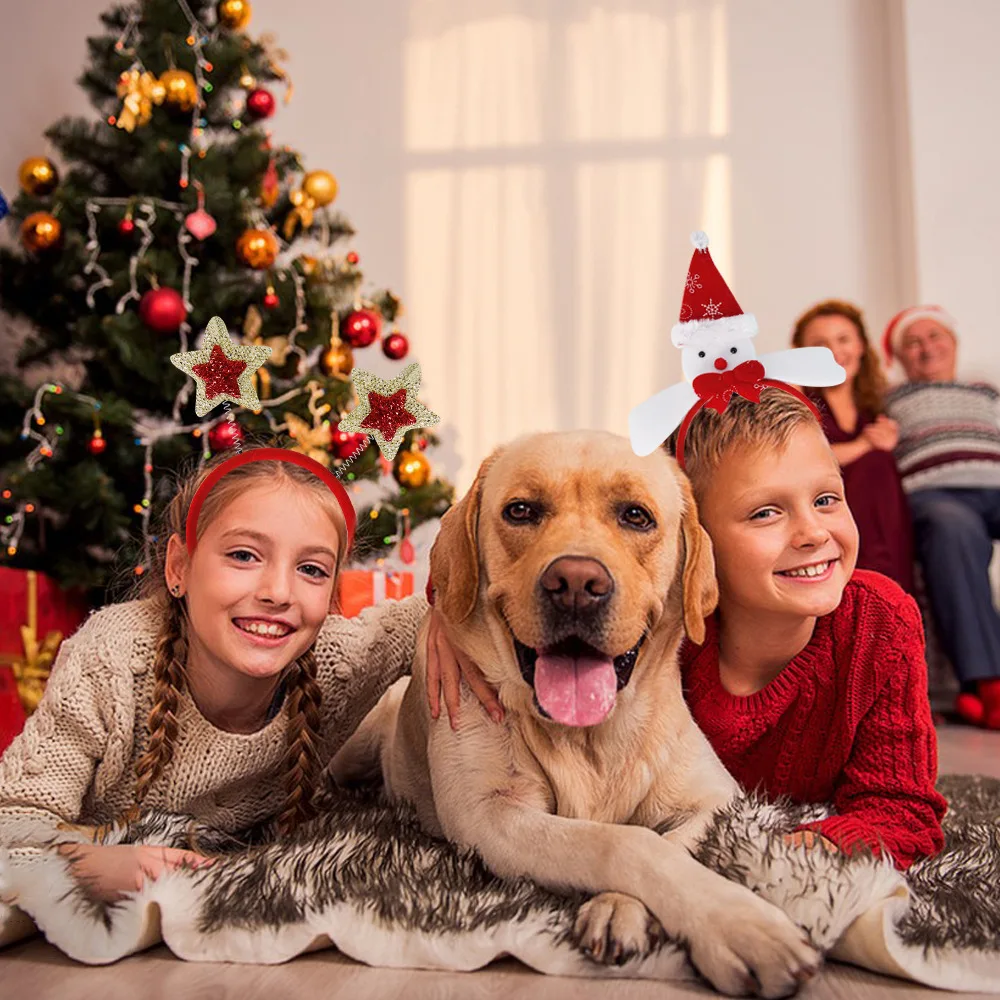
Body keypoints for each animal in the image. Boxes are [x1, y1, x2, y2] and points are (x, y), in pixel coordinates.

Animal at [332, 432, 816, 1000]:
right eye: (521, 510)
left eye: (636, 516)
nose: (577, 583)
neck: (590, 738)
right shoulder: (490, 814)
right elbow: (624, 842)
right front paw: (742, 924)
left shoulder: (716, 800)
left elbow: (670, 842)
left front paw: (622, 910)